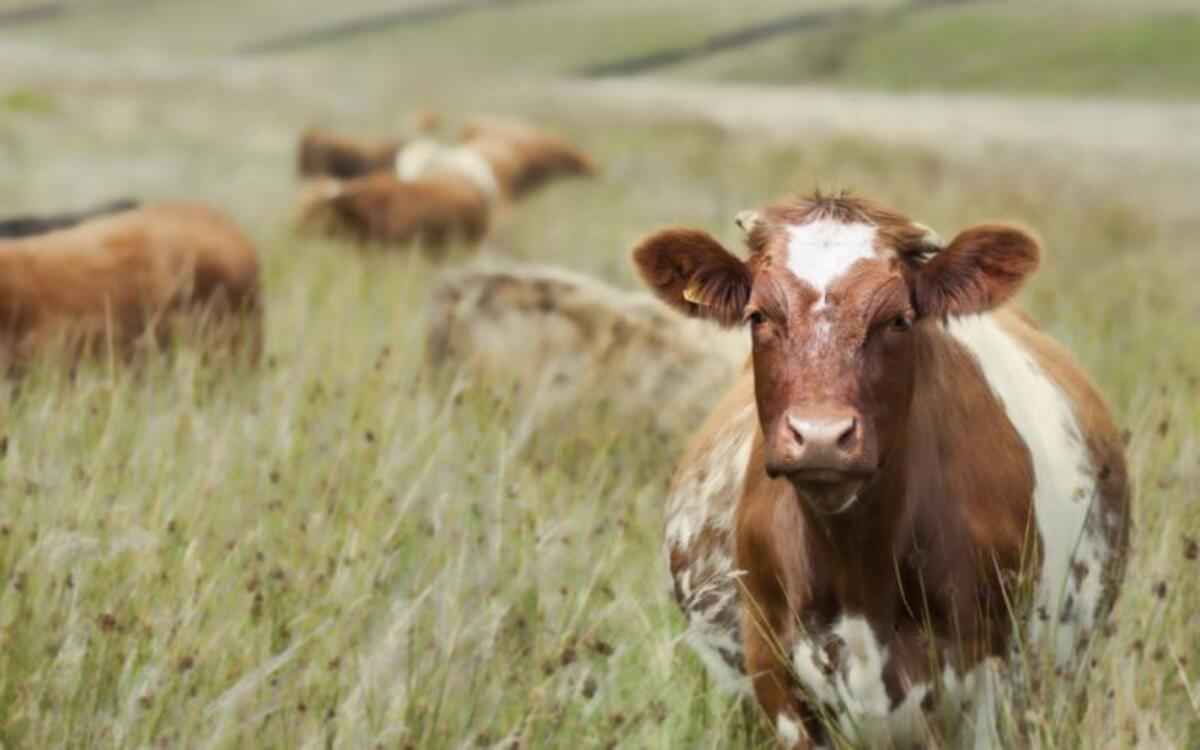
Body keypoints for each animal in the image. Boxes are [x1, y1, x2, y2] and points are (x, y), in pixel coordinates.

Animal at [633, 194, 1128, 748]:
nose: (821, 435)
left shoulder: (1001, 675)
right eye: (757, 316)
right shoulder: (773, 675)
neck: (859, 565)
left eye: (897, 319)